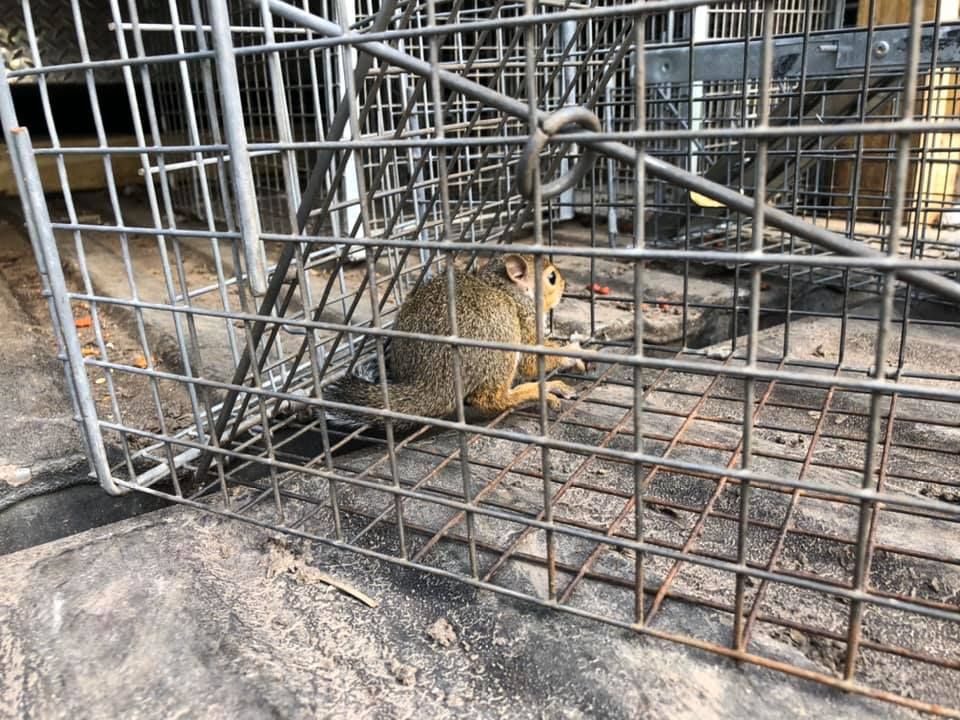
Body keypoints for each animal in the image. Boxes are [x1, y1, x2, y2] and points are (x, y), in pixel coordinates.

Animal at [323, 253, 586, 431]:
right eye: (551, 277)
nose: (566, 285)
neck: (505, 287)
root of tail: (432, 384)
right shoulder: (524, 318)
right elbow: (532, 361)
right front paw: (571, 353)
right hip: (502, 336)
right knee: (491, 400)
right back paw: (538, 390)